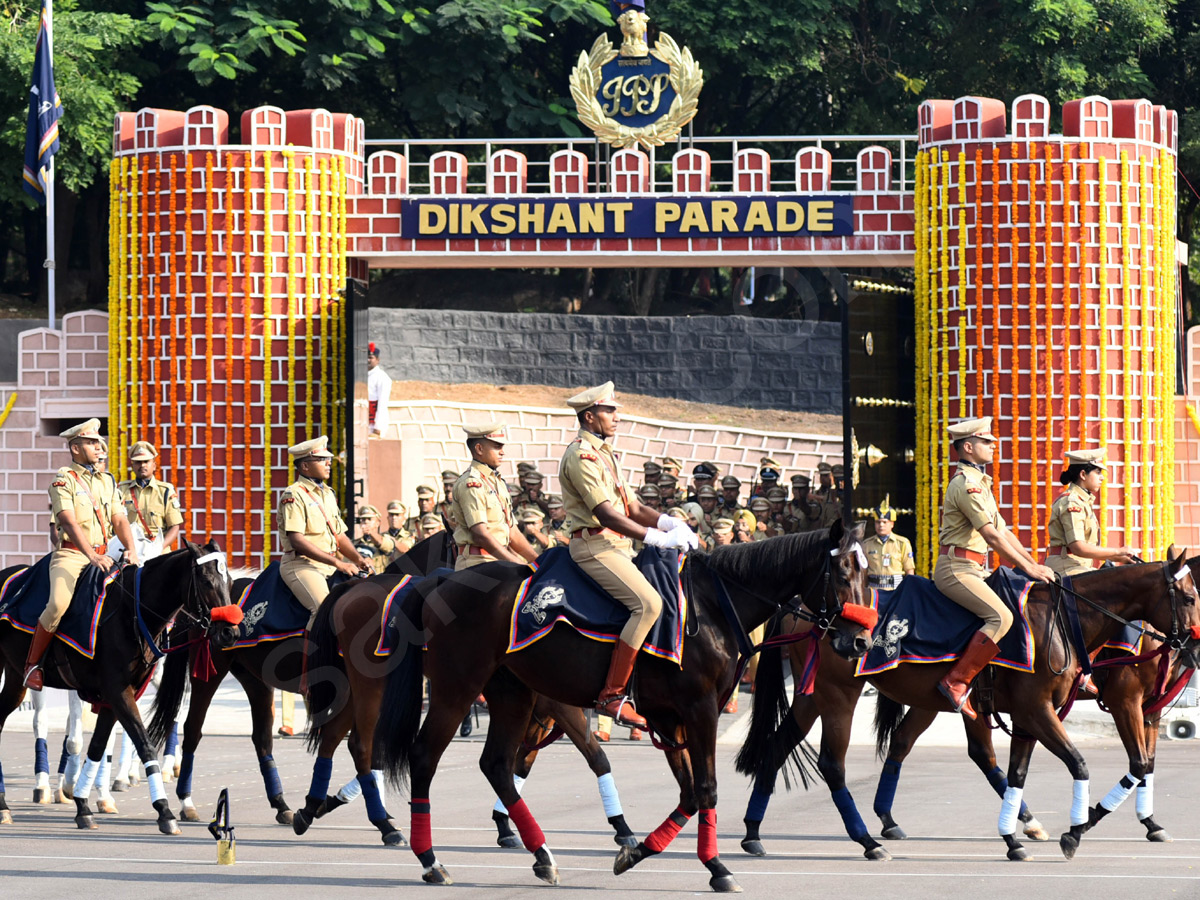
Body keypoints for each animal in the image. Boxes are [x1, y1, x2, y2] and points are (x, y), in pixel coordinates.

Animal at [0, 540, 234, 835]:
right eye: (205, 580)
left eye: (229, 580)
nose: (230, 632)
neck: (131, 611)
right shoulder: (118, 692)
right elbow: (144, 745)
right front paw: (164, 811)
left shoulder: (115, 697)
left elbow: (97, 747)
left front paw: (83, 806)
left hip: (14, 678)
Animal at [374, 525, 873, 892]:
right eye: (842, 573)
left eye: (867, 577)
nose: (861, 643)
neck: (711, 606)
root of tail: (440, 578)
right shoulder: (699, 711)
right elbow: (707, 789)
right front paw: (717, 868)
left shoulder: (670, 718)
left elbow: (689, 793)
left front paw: (638, 851)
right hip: (457, 688)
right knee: (424, 757)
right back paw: (430, 859)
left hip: (512, 693)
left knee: (497, 765)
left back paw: (541, 854)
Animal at [739, 547, 1200, 864]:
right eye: (1190, 599)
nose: (1194, 640)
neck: (1065, 621)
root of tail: (804, 606)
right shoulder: (1089, 706)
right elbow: (1095, 764)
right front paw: (1077, 827)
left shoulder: (1060, 716)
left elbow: (1024, 773)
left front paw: (1016, 837)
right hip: (838, 695)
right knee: (833, 763)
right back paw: (867, 840)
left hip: (836, 697)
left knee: (788, 746)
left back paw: (755, 833)